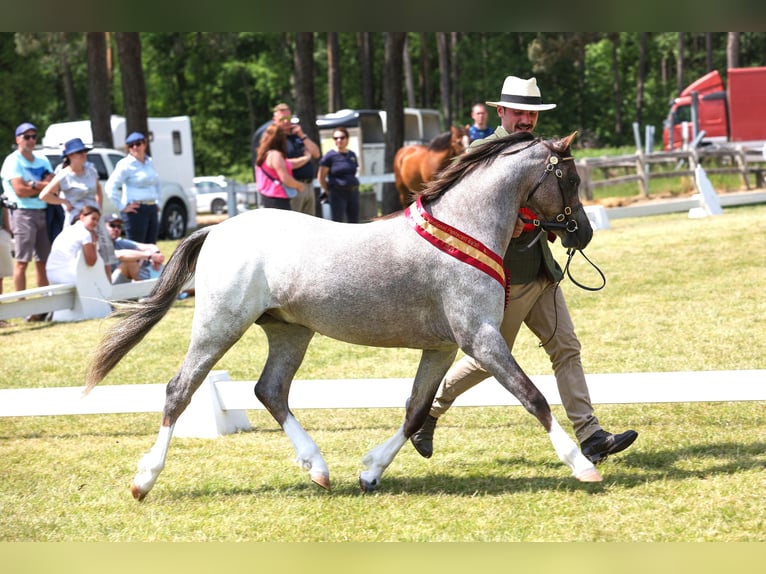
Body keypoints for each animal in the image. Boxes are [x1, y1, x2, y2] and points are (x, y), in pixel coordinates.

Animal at [84, 130, 604, 500]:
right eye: (571, 179)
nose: (584, 233)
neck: (462, 229)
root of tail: (216, 231)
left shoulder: (442, 347)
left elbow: (416, 409)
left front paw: (370, 472)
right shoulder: (480, 338)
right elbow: (533, 396)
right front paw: (582, 466)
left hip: (290, 332)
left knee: (269, 391)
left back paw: (319, 470)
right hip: (219, 326)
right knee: (180, 390)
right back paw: (144, 481)